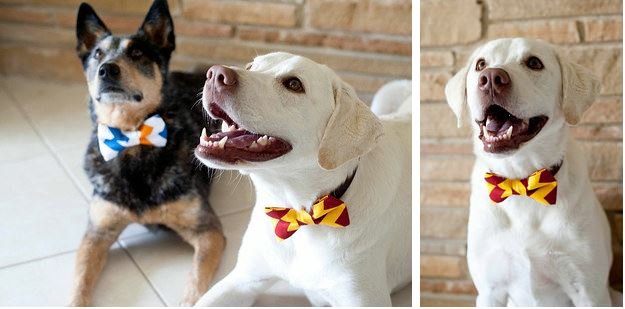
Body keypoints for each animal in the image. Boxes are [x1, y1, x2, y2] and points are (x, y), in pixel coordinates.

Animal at [71, 0, 224, 304]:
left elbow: (196, 282)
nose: (107, 69)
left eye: (137, 52)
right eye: (97, 54)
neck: (131, 138)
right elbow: (80, 283)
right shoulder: (97, 232)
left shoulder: (208, 231)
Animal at [446, 37, 616, 304]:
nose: (491, 78)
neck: (520, 180)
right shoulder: (490, 291)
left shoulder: (589, 291)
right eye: (480, 64)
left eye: (534, 63)